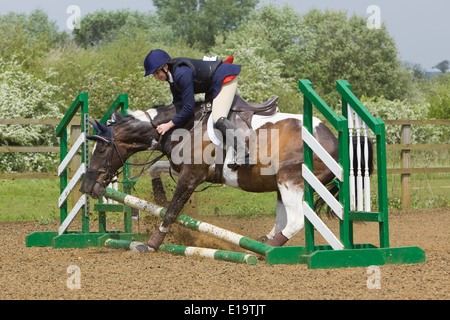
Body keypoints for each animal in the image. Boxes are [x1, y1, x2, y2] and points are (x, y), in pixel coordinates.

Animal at [79, 99, 356, 251]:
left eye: (101, 149)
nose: (88, 187)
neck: (184, 126)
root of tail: (332, 139)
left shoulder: (191, 176)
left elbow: (172, 211)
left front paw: (151, 243)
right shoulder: (179, 168)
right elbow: (155, 170)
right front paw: (158, 196)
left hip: (289, 179)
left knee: (296, 220)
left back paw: (266, 250)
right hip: (281, 185)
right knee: (283, 220)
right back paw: (264, 241)